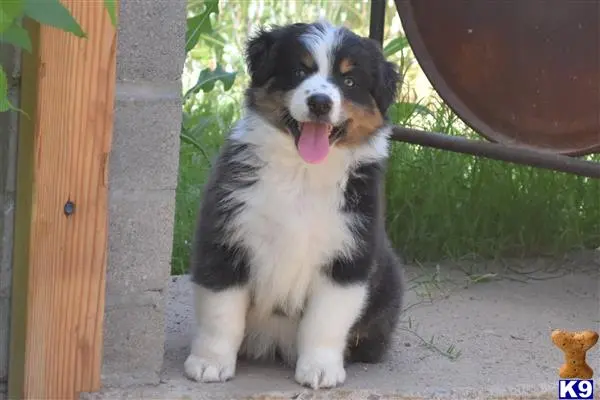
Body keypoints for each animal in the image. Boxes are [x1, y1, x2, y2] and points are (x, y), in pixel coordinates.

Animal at [185, 20, 406, 390]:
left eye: (349, 81)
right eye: (299, 71)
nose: (319, 102)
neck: (302, 173)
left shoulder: (348, 256)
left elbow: (325, 321)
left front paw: (320, 369)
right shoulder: (226, 238)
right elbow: (221, 314)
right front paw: (209, 363)